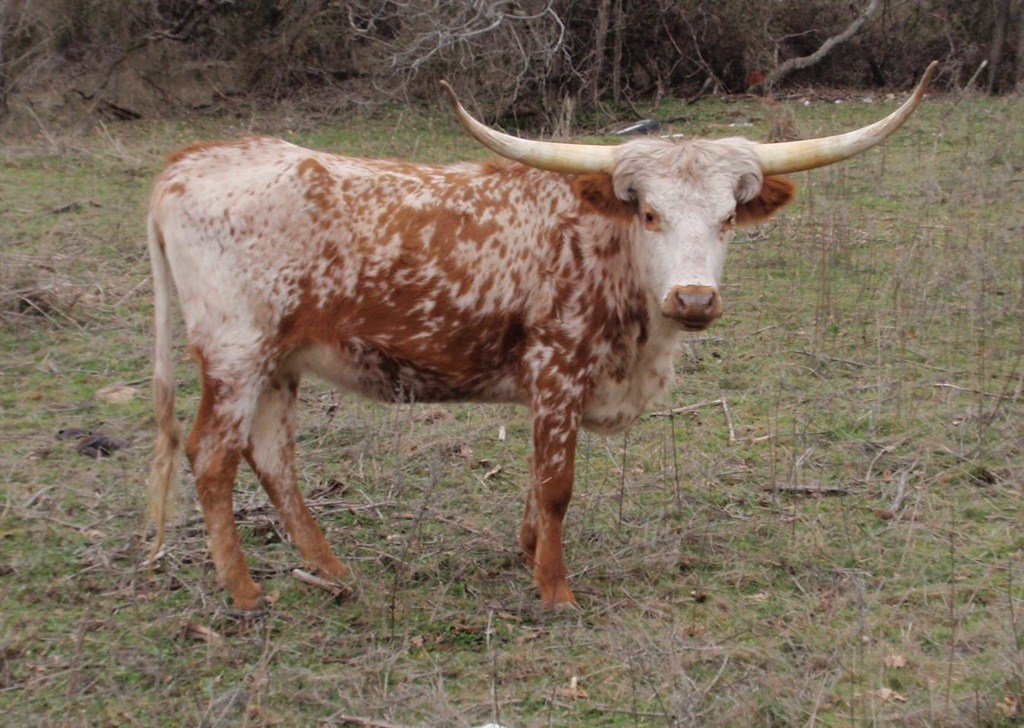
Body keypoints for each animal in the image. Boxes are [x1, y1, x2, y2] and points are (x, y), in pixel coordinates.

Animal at [146, 63, 936, 613]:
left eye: (728, 218)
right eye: (648, 213)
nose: (694, 298)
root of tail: (189, 162)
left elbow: (534, 480)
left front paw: (526, 553)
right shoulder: (558, 371)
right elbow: (556, 484)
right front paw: (555, 590)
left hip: (280, 361)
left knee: (272, 457)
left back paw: (333, 571)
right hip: (236, 353)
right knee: (212, 458)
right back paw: (245, 594)